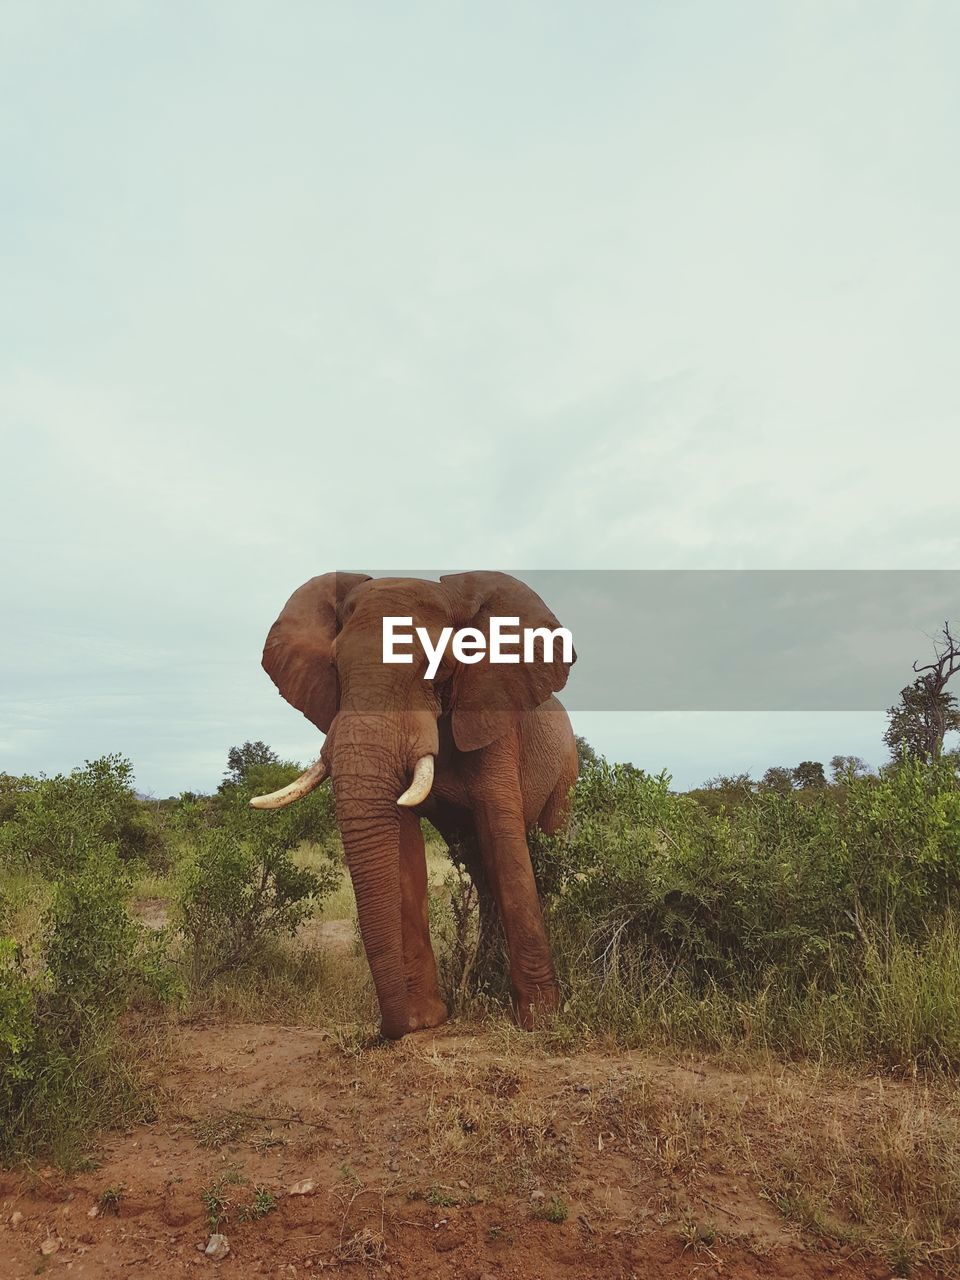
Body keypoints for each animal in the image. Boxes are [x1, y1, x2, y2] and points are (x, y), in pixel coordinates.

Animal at [249, 570, 578, 1039]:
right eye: (334, 667)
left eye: (436, 666)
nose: (387, 1029)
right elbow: (403, 846)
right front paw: (424, 1021)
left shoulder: (492, 718)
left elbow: (504, 838)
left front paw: (541, 1020)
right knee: (482, 871)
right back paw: (484, 981)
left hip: (566, 772)